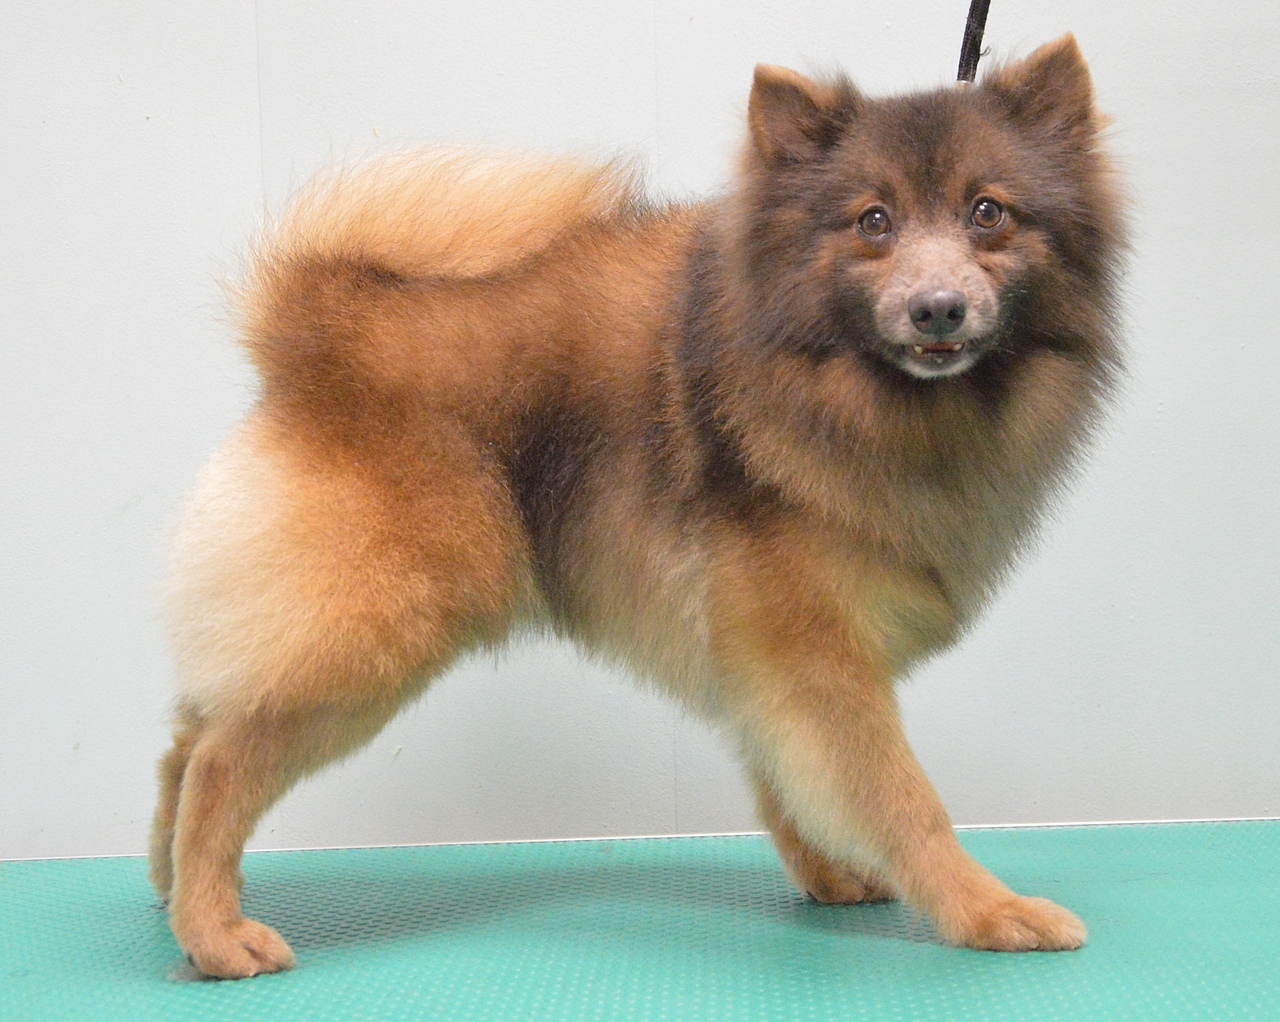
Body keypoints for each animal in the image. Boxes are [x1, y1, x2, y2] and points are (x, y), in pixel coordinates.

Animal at [149, 35, 1125, 977]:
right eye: (873, 222)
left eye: (988, 213)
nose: (938, 309)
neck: (844, 388)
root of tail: (319, 324)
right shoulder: (815, 648)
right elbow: (901, 799)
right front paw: (987, 910)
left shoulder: (768, 650)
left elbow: (788, 780)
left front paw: (830, 874)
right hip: (378, 622)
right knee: (223, 759)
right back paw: (215, 931)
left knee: (188, 737)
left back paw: (167, 887)